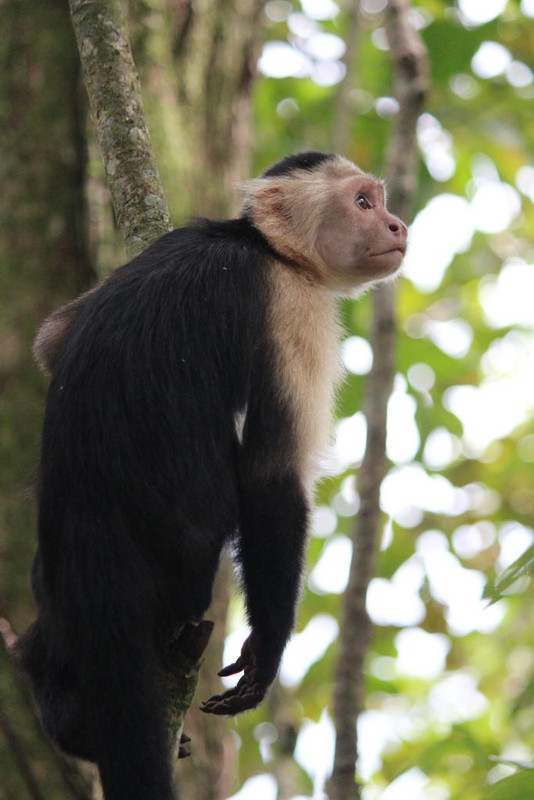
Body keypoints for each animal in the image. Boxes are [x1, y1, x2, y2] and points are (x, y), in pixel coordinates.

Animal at [17, 153, 410, 796]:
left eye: (380, 202)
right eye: (363, 204)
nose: (398, 225)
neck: (259, 244)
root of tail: (88, 514)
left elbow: (51, 341)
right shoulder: (290, 304)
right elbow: (272, 476)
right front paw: (267, 650)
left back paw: (59, 700)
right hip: (180, 526)